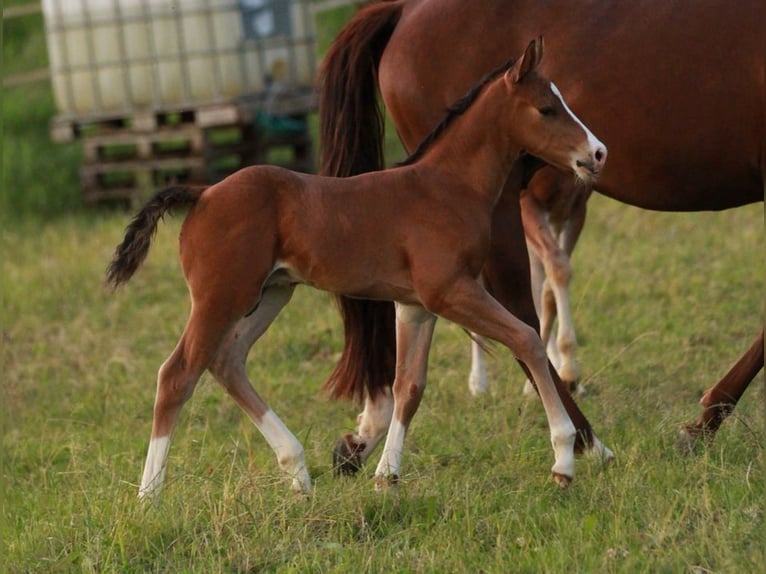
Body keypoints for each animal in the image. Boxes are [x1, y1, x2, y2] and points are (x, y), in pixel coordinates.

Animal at [106, 38, 612, 502]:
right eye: (546, 108)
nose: (598, 153)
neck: (447, 186)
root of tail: (204, 194)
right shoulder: (450, 291)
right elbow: (526, 339)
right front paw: (564, 459)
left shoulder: (416, 306)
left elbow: (409, 386)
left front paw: (386, 475)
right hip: (221, 297)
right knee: (178, 374)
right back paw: (149, 495)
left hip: (271, 294)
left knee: (226, 362)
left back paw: (298, 472)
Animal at [320, 0, 764, 470]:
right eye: (547, 108)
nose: (598, 152)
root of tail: (405, 9)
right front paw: (703, 424)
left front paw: (705, 421)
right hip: (493, 200)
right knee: (515, 314)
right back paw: (584, 438)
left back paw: (368, 431)